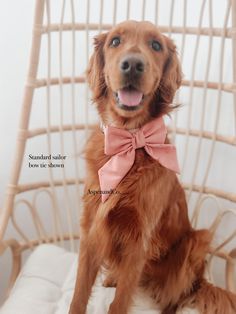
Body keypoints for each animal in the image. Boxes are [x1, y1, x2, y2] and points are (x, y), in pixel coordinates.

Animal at [69, 20, 236, 312]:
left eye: (156, 45)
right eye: (115, 41)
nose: (133, 64)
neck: (130, 142)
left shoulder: (139, 239)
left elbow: (121, 299)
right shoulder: (91, 226)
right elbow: (79, 293)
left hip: (196, 241)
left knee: (179, 291)